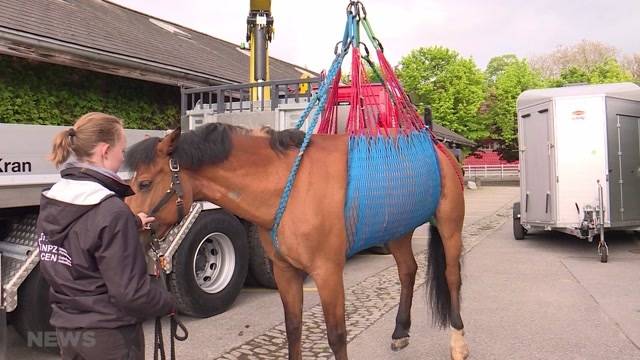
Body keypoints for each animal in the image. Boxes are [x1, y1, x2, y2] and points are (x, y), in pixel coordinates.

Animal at [124, 122, 470, 358]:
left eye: (144, 183)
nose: (132, 228)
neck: (289, 187)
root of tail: (438, 146)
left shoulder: (328, 273)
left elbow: (336, 335)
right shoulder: (285, 272)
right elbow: (293, 328)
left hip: (450, 227)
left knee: (452, 277)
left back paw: (458, 342)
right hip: (397, 231)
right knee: (408, 271)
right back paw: (400, 331)